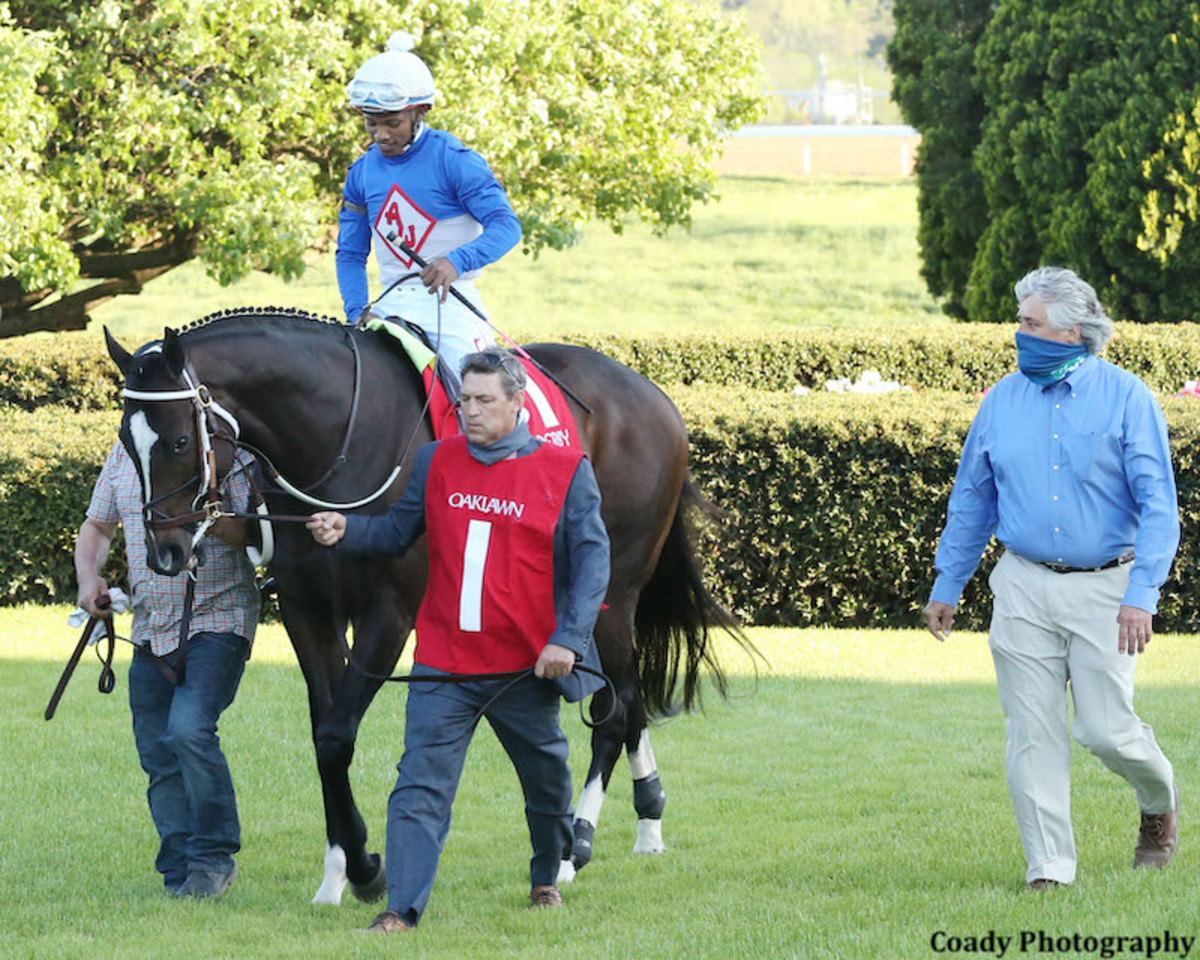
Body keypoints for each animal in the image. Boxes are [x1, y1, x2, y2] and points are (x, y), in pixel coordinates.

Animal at [105, 312, 739, 902]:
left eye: (179, 441)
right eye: (125, 441)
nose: (165, 552)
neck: (340, 440)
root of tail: (654, 396)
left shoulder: (389, 612)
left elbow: (337, 735)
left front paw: (365, 869)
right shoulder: (309, 611)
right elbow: (323, 734)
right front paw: (341, 870)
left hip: (611, 592)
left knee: (616, 705)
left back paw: (572, 847)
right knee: (627, 701)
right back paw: (647, 820)